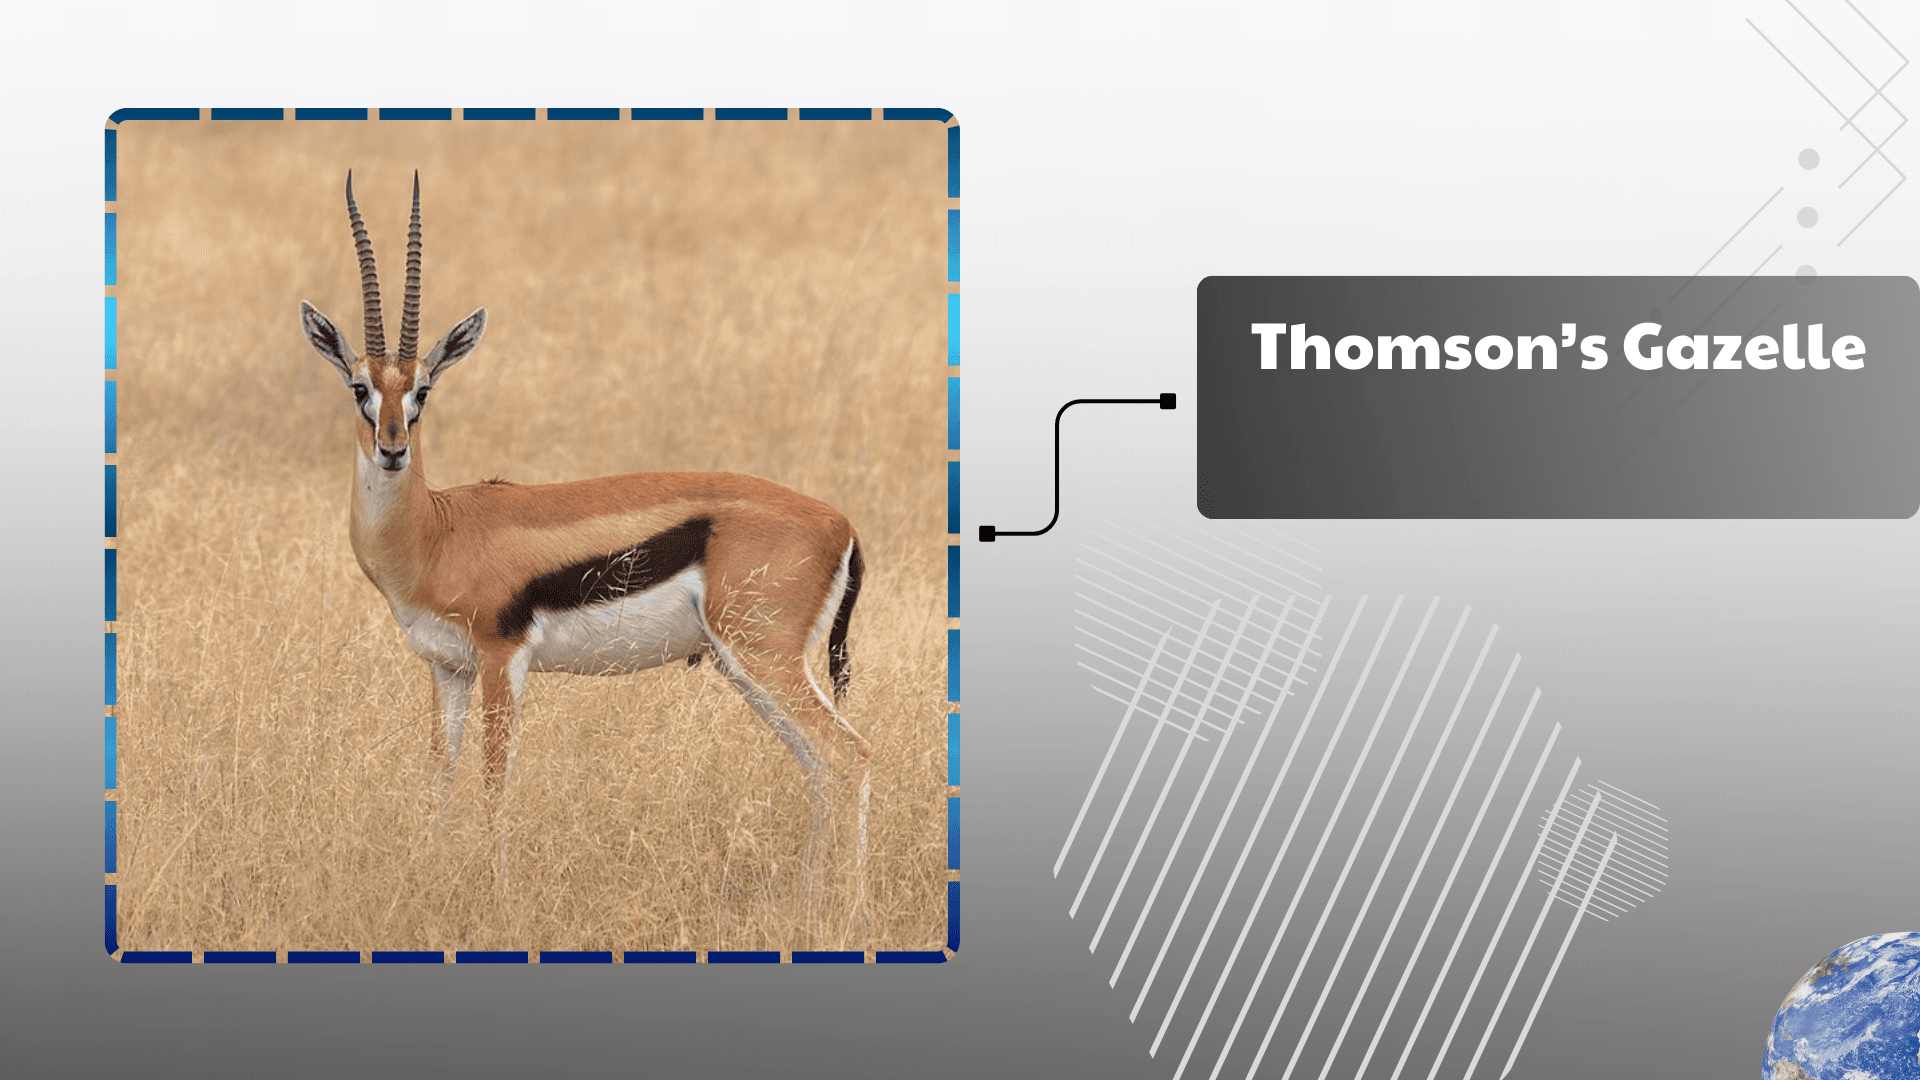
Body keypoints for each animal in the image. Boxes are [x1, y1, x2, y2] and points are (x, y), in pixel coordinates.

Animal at [298, 172, 872, 911]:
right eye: (358, 387)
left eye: (423, 388)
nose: (393, 449)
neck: (436, 530)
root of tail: (842, 524)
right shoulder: (447, 668)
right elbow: (438, 776)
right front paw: (424, 874)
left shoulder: (501, 658)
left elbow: (495, 780)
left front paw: (496, 895)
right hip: (749, 668)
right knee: (818, 767)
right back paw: (805, 901)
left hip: (764, 657)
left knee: (850, 757)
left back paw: (846, 911)